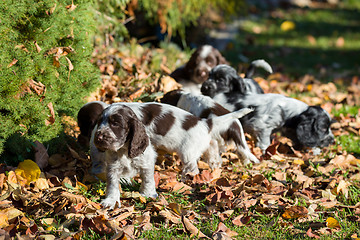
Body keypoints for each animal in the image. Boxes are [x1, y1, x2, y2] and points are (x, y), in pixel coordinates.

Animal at [79, 101, 253, 208]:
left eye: (116, 123)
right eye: (100, 122)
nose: (99, 137)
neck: (124, 150)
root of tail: (204, 123)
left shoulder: (147, 159)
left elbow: (148, 179)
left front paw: (148, 195)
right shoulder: (113, 166)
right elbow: (113, 183)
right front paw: (111, 200)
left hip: (187, 152)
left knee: (192, 168)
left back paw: (187, 181)